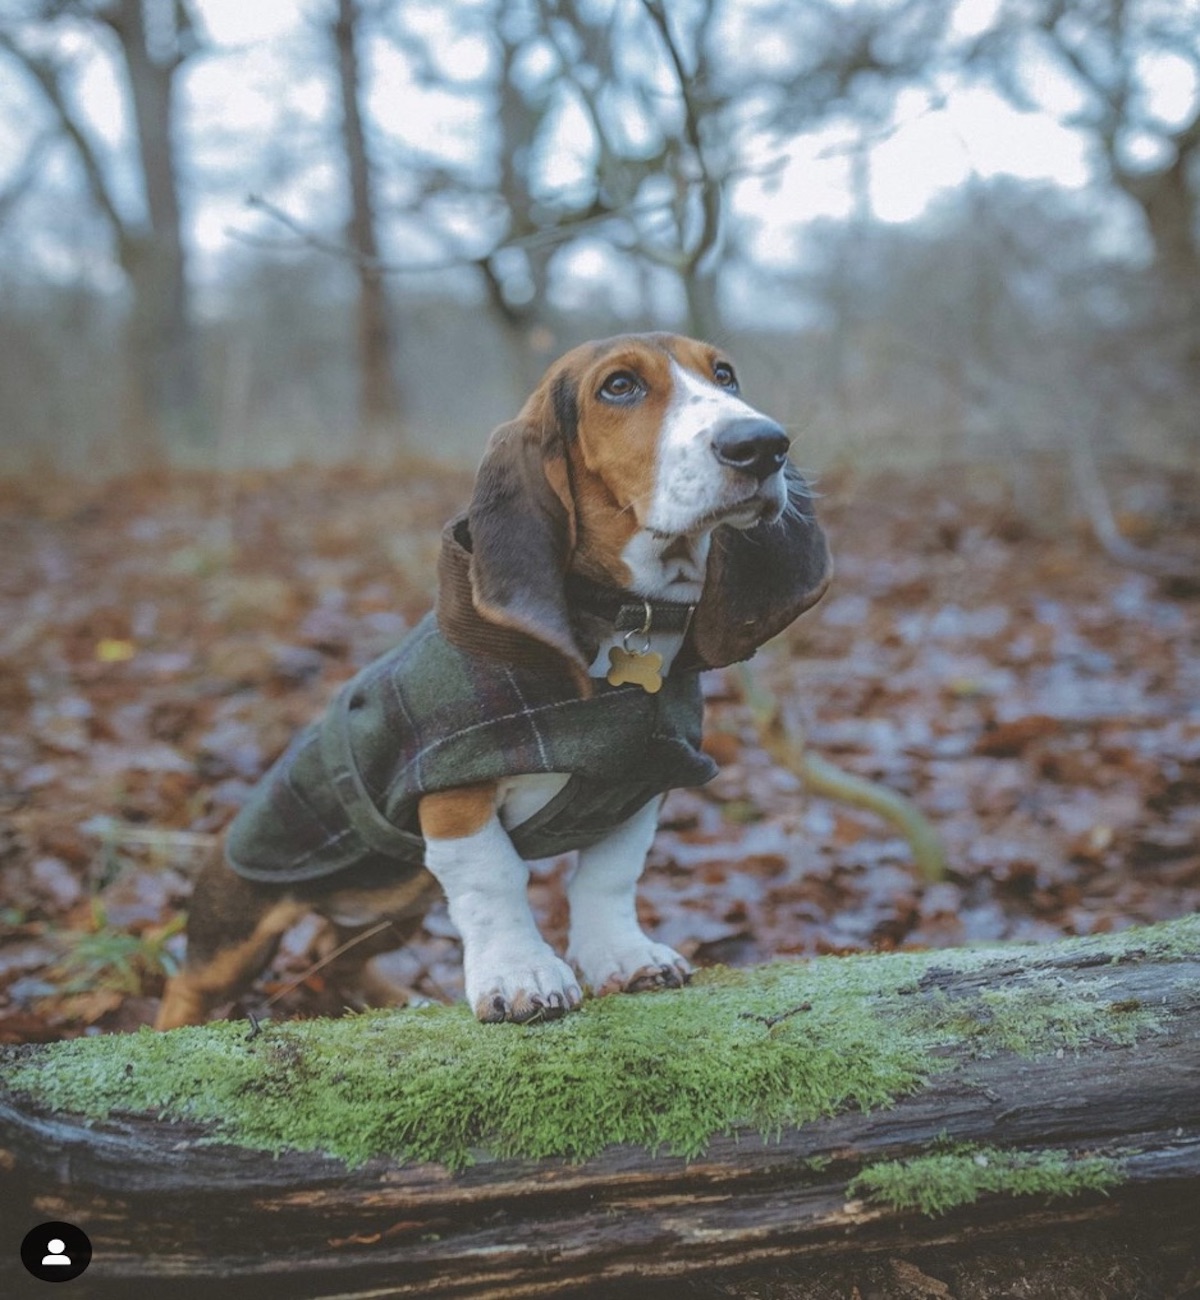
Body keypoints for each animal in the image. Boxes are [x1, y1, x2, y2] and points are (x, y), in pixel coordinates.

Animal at [154, 330, 832, 1029]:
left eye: (725, 375)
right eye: (619, 386)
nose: (763, 444)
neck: (622, 615)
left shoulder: (642, 786)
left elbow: (609, 877)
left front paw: (624, 957)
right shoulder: (456, 792)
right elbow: (496, 879)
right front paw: (520, 974)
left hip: (392, 910)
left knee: (330, 954)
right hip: (237, 928)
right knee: (188, 986)